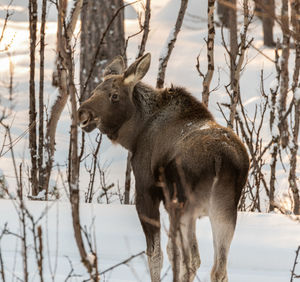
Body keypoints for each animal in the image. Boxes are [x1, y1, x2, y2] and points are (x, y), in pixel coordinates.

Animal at [77, 53, 248, 282]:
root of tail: (221, 160)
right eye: (94, 91)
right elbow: (168, 250)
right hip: (224, 210)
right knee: (218, 268)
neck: (134, 134)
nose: (83, 113)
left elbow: (155, 254)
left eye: (114, 95)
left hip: (185, 207)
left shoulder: (146, 192)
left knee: (192, 259)